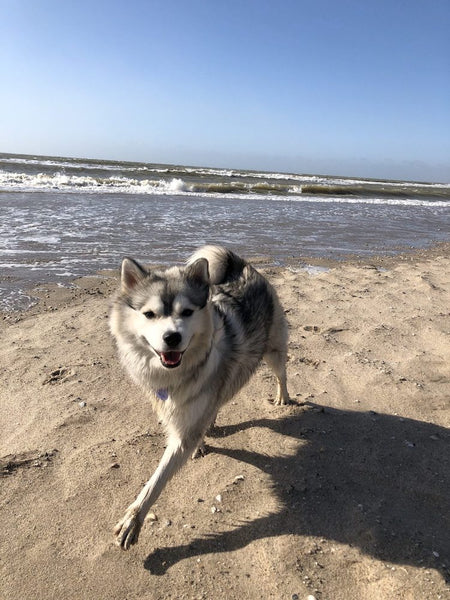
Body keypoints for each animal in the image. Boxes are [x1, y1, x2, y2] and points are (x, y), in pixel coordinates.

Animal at [110, 244, 290, 548]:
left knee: (281, 374)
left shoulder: (184, 430)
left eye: (187, 312)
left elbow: (156, 481)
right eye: (149, 314)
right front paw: (201, 442)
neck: (180, 371)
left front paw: (134, 519)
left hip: (274, 350)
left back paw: (283, 397)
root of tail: (242, 265)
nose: (172, 337)